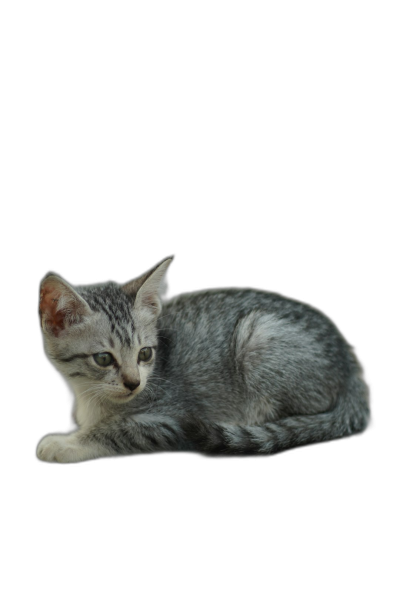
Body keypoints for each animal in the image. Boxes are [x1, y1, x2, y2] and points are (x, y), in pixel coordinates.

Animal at [36, 255, 370, 462]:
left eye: (145, 353)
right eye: (104, 359)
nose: (133, 383)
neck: (93, 399)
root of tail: (351, 365)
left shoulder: (168, 419)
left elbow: (118, 431)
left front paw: (67, 443)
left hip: (258, 336)